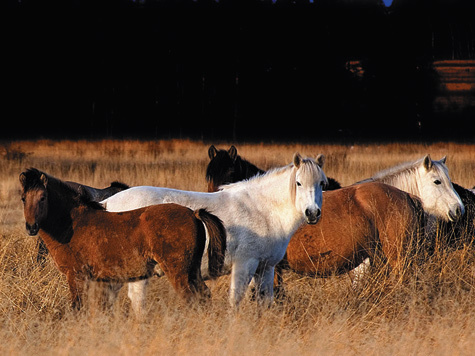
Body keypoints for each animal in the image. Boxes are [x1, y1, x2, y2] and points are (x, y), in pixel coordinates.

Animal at [19, 168, 227, 310]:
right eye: (23, 198)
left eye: (43, 197)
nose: (31, 227)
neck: (73, 224)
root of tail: (194, 214)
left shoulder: (76, 276)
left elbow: (78, 308)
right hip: (192, 271)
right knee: (204, 296)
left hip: (179, 273)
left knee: (191, 299)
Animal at [103, 154, 328, 310]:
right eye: (298, 183)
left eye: (321, 184)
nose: (312, 213)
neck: (261, 208)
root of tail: (107, 203)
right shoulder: (244, 264)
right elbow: (235, 301)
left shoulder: (266, 267)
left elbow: (264, 301)